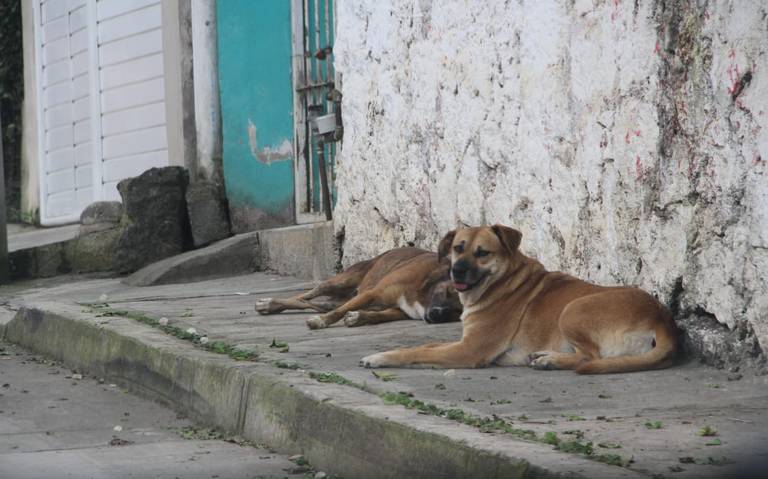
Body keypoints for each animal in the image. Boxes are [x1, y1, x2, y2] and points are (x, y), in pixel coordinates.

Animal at [258, 248, 462, 330]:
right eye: (446, 292)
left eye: (459, 311)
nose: (437, 315)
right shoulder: (373, 293)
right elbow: (341, 312)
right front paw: (320, 322)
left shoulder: (400, 310)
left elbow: (379, 316)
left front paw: (359, 317)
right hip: (340, 281)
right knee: (303, 297)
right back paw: (268, 303)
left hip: (337, 297)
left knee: (310, 303)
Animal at [360, 225, 680, 376]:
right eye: (457, 248)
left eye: (482, 253)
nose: (456, 270)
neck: (501, 283)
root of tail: (662, 318)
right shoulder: (462, 341)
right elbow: (425, 345)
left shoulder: (468, 351)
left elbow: (417, 352)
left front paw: (379, 358)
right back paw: (545, 356)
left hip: (572, 309)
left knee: (591, 357)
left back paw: (550, 360)